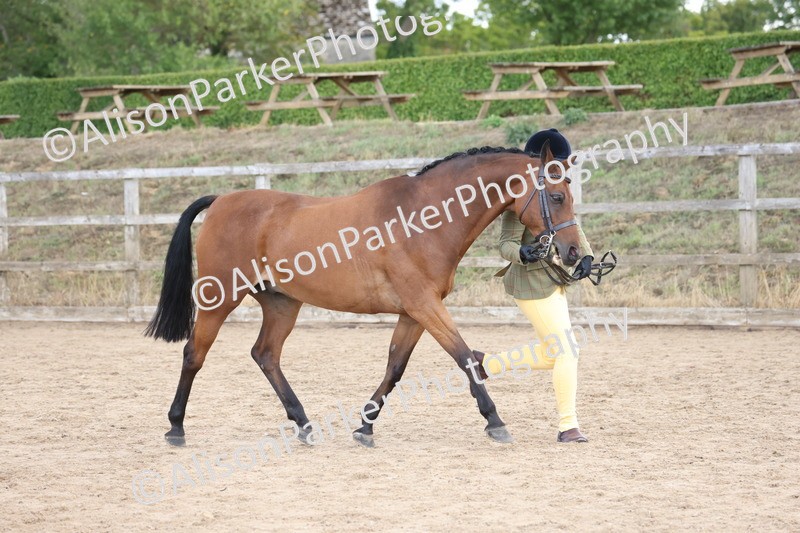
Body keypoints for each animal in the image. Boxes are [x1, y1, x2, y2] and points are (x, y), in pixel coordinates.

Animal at [145, 141, 582, 447]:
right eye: (557, 196)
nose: (575, 252)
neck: (422, 218)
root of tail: (221, 200)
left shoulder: (413, 313)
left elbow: (395, 368)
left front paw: (365, 426)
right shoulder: (425, 306)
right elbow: (464, 358)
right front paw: (495, 421)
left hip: (283, 303)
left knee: (265, 354)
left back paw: (304, 424)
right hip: (220, 298)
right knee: (194, 354)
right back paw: (176, 427)